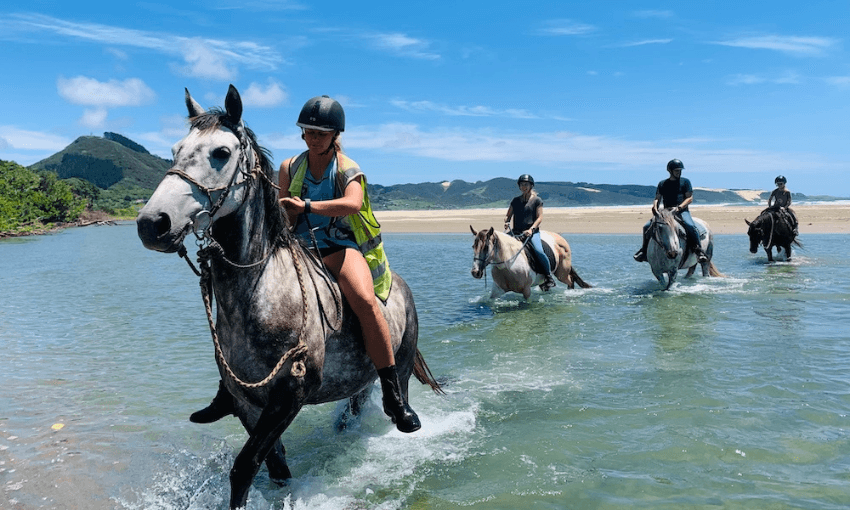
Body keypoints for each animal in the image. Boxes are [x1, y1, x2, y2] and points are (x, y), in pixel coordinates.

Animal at [136, 85, 442, 510]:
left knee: (394, 392)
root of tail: (399, 285)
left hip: (400, 361)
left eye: (221, 152)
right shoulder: (248, 403)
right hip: (358, 380)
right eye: (175, 149)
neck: (260, 292)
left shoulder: (290, 393)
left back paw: (403, 416)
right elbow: (274, 467)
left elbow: (244, 467)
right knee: (355, 407)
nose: (152, 224)